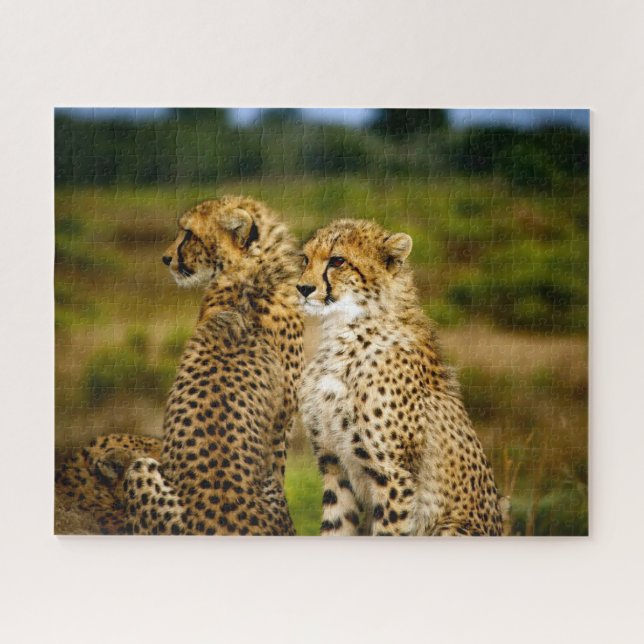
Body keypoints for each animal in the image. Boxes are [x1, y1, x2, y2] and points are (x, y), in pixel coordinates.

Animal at [297, 219, 504, 536]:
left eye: (337, 261)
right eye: (305, 259)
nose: (303, 288)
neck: (343, 332)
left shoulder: (394, 476)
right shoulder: (333, 465)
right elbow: (336, 526)